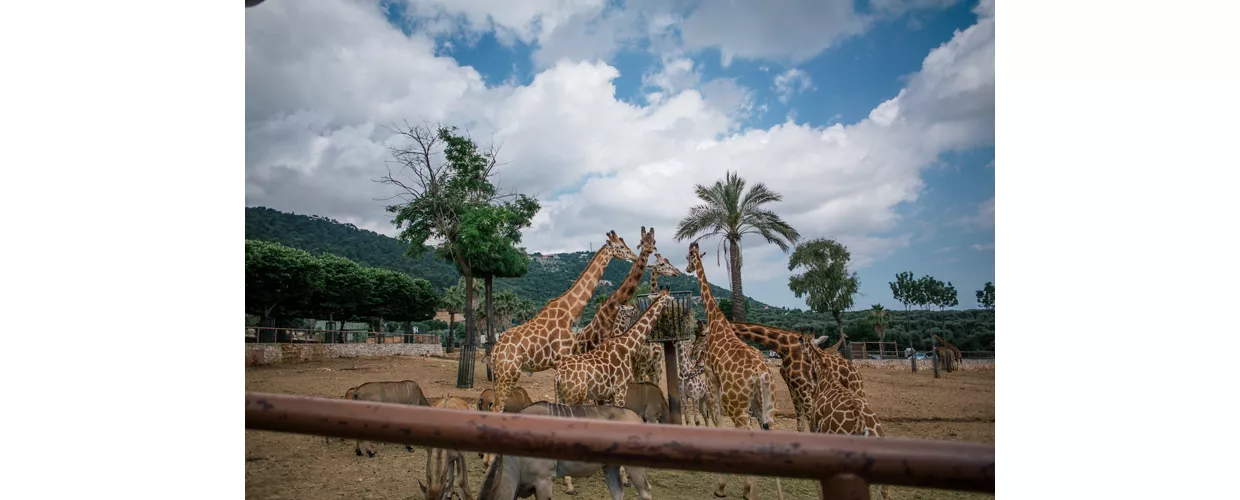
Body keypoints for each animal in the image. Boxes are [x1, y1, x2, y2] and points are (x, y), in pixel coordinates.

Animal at [481, 230, 639, 468]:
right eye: (620, 246)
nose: (633, 255)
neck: (571, 311)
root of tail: (495, 351)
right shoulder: (563, 359)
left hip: (502, 374)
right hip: (510, 373)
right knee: (497, 406)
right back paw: (491, 459)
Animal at [553, 290, 674, 496]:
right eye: (670, 299)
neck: (627, 344)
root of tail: (558, 376)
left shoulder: (605, 396)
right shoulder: (620, 390)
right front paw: (625, 477)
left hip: (563, 397)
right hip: (573, 398)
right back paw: (569, 484)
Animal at [684, 241, 778, 500]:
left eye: (689, 256)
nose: (686, 268)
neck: (717, 321)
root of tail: (760, 374)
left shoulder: (712, 378)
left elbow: (717, 420)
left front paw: (721, 486)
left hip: (737, 404)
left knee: (748, 431)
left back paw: (748, 490)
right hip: (765, 404)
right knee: (768, 431)